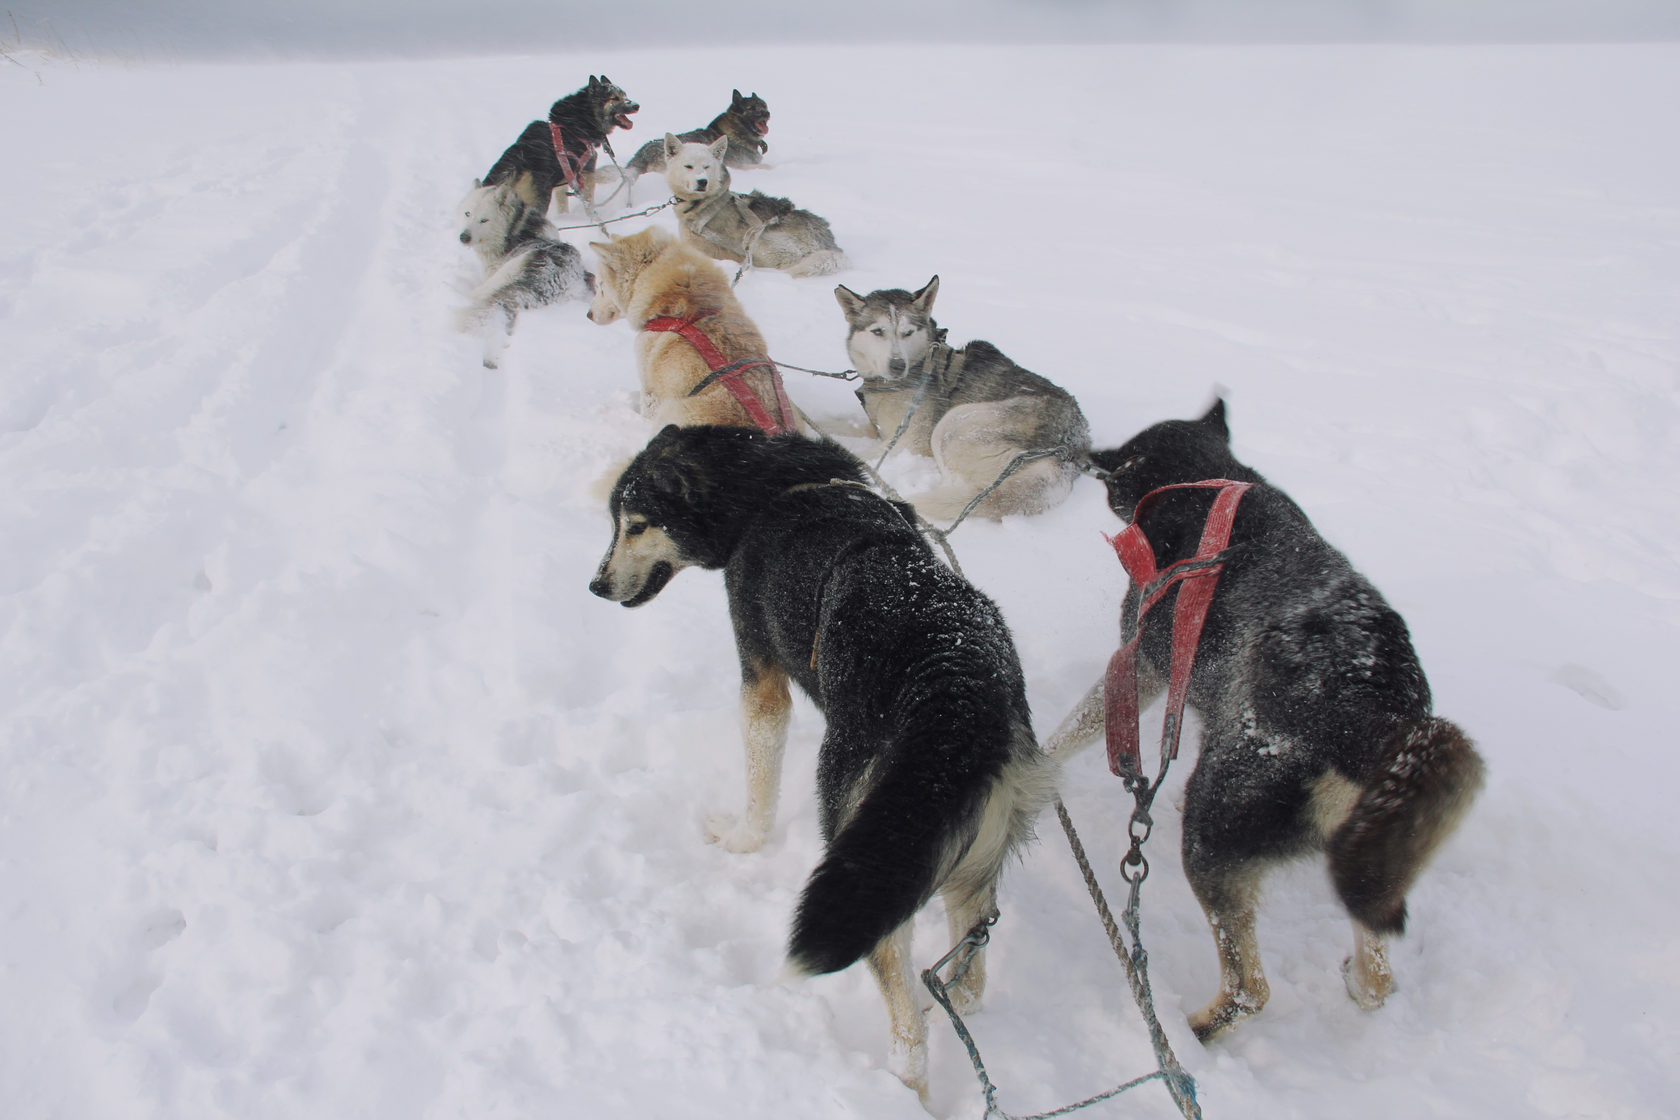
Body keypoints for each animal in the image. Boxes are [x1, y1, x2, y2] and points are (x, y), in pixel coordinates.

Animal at [490, 74, 645, 216]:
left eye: (624, 95)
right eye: (614, 98)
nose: (636, 105)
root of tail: (518, 159)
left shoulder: (564, 180)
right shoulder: (587, 172)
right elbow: (592, 199)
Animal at [1048, 401, 1485, 1041]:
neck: (1209, 484)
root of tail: (1373, 715)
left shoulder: (1143, 663)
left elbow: (1071, 730)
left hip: (1211, 836)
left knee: (1249, 989)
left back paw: (1188, 1028)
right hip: (1362, 851)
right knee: (1377, 974)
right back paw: (1359, 979)